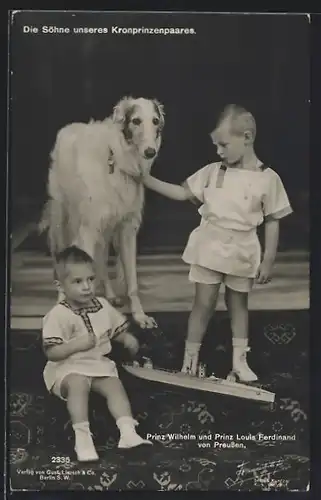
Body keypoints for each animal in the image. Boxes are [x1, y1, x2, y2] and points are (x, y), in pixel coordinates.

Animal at [39, 95, 165, 328]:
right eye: (135, 121)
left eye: (155, 121)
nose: (150, 152)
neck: (116, 159)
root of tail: (70, 127)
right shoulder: (88, 229)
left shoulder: (126, 229)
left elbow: (132, 281)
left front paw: (140, 317)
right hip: (64, 219)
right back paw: (61, 297)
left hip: (105, 229)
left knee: (102, 261)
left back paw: (111, 294)